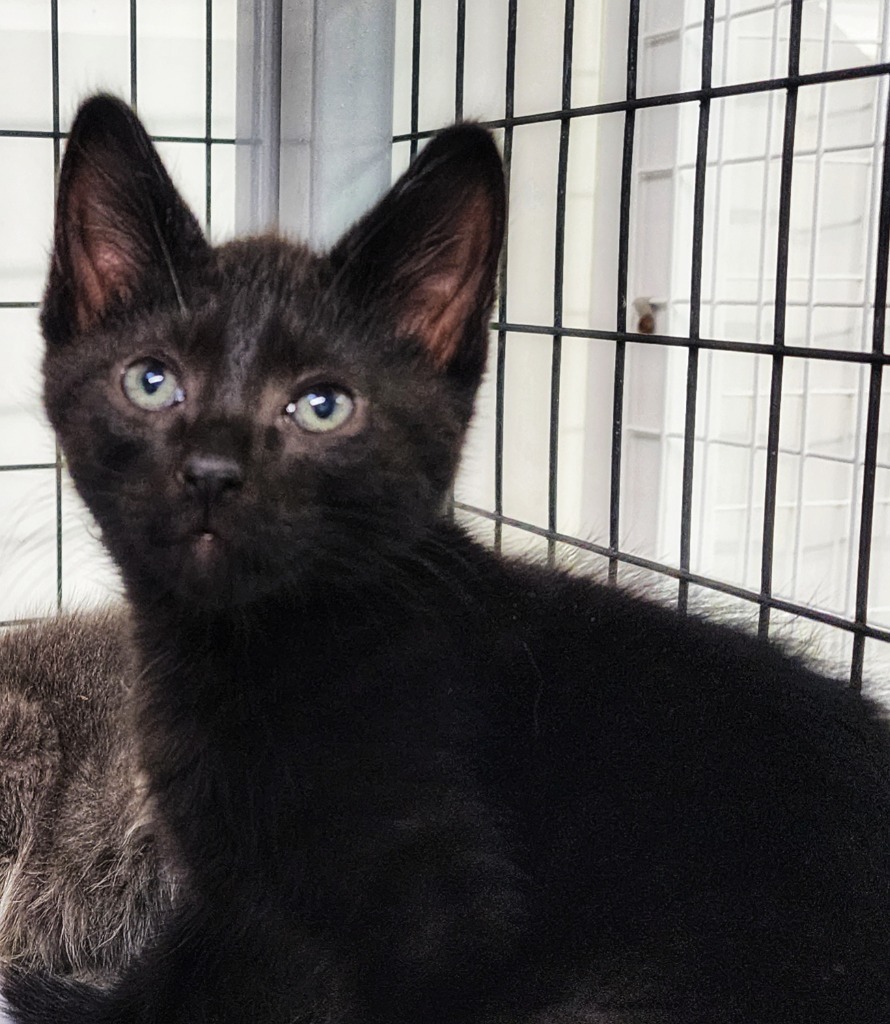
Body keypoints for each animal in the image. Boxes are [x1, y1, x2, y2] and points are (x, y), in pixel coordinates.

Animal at [5, 92, 888, 1019]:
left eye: (323, 405)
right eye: (152, 381)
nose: (212, 471)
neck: (247, 664)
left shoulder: (443, 917)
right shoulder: (231, 901)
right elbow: (174, 981)